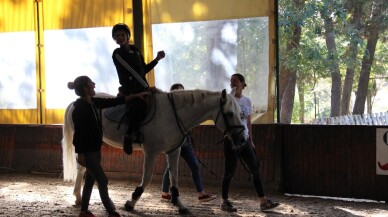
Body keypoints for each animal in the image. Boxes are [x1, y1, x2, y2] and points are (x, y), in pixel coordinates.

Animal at [62, 88, 247, 214]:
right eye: (229, 114)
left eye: (240, 113)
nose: (242, 140)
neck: (172, 115)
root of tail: (75, 103)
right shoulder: (151, 152)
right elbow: (147, 178)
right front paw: (131, 202)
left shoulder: (173, 151)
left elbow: (174, 178)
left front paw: (179, 204)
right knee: (81, 168)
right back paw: (78, 197)